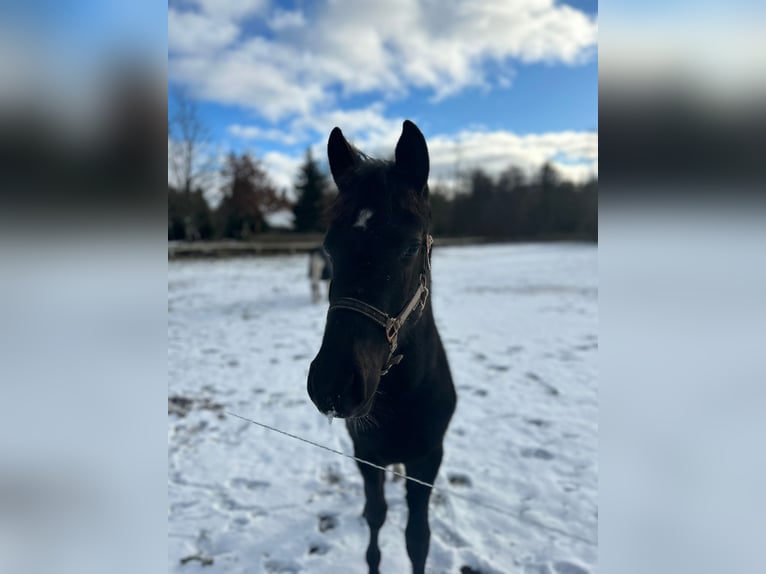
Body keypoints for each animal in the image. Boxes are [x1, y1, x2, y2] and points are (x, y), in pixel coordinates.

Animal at [307, 120, 457, 574]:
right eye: (329, 247)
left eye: (410, 246)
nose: (334, 385)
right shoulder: (366, 457)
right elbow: (376, 521)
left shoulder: (428, 460)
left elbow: (417, 539)